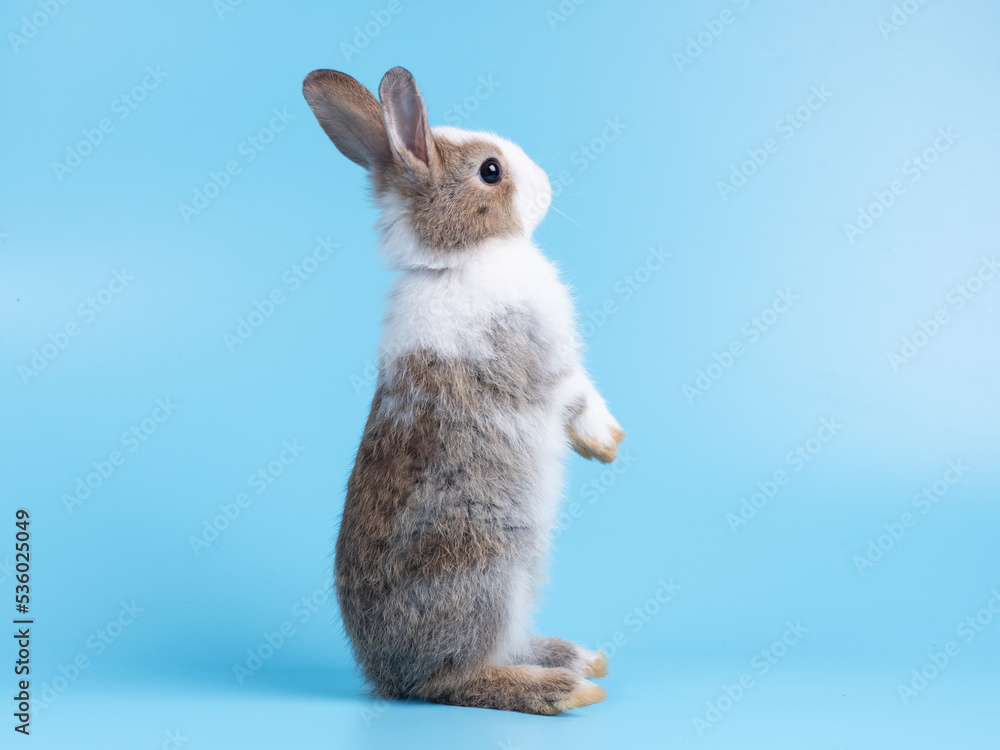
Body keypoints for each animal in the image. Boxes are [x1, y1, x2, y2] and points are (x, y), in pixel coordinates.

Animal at [302, 66, 625, 715]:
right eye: (491, 171)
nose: (546, 185)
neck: (456, 261)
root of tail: (386, 674)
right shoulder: (543, 363)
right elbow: (576, 392)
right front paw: (606, 443)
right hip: (487, 576)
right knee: (452, 680)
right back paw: (563, 688)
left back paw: (576, 657)